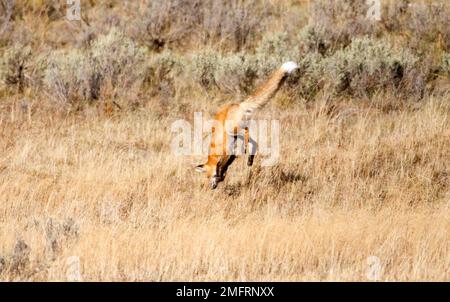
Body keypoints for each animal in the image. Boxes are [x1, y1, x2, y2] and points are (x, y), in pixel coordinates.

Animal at [194, 61, 298, 189]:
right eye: (207, 177)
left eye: (211, 176)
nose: (212, 187)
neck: (215, 153)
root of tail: (239, 104)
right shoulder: (231, 154)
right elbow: (226, 166)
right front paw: (222, 176)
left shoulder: (227, 153)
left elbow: (224, 166)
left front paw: (221, 176)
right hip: (238, 133)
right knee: (254, 142)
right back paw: (250, 159)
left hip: (233, 129)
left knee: (247, 134)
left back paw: (245, 150)